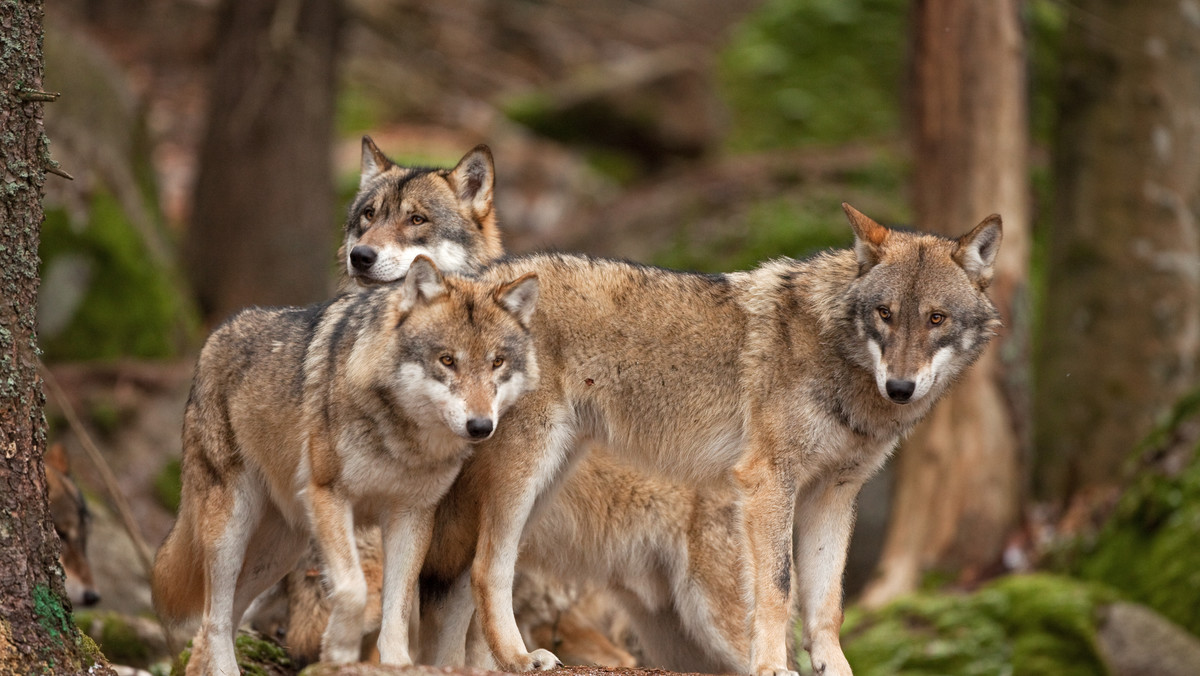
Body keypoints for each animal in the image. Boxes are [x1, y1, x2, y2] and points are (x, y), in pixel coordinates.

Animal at [150, 255, 540, 676]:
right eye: (447, 360)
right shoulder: (330, 496)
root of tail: (215, 335)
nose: (481, 426)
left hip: (280, 552)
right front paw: (337, 651)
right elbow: (354, 589)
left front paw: (397, 663)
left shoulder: (411, 515)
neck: (403, 441)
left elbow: (397, 608)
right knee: (214, 618)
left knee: (223, 619)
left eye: (497, 362)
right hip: (231, 533)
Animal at [427, 205, 998, 676]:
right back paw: (518, 658)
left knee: (461, 581)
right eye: (885, 313)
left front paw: (834, 669)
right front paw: (772, 668)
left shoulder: (834, 494)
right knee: (485, 570)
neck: (837, 356)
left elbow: (827, 605)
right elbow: (777, 587)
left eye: (936, 319)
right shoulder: (768, 481)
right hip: (528, 476)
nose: (900, 388)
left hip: (548, 491)